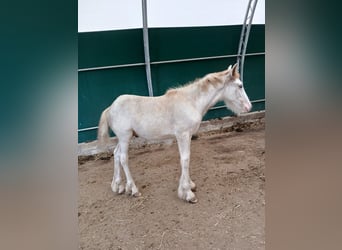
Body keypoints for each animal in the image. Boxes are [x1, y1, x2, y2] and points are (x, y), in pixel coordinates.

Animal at [97, 63, 252, 203]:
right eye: (240, 85)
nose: (249, 107)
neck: (191, 102)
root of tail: (110, 108)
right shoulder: (183, 135)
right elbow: (185, 159)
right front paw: (188, 193)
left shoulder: (187, 136)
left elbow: (185, 158)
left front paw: (189, 186)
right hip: (125, 137)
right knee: (123, 158)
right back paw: (133, 189)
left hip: (123, 138)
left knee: (116, 154)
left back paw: (118, 186)